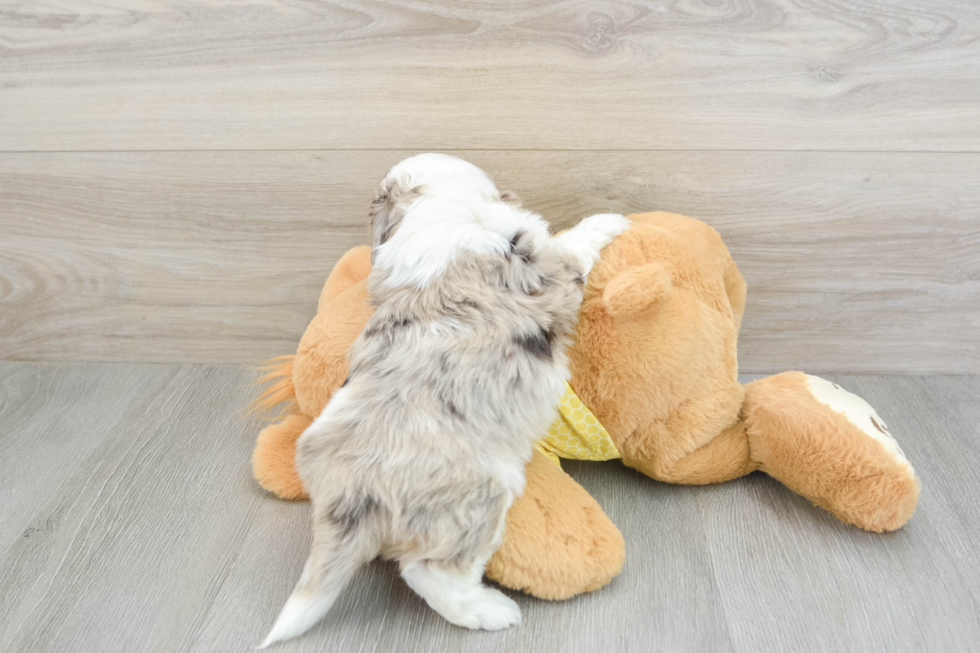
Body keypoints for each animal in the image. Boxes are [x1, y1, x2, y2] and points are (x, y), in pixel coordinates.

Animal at [260, 154, 628, 648]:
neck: (434, 206)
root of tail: (351, 496)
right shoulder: (544, 262)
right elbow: (571, 244)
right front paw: (610, 220)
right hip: (478, 501)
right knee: (427, 571)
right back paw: (492, 612)